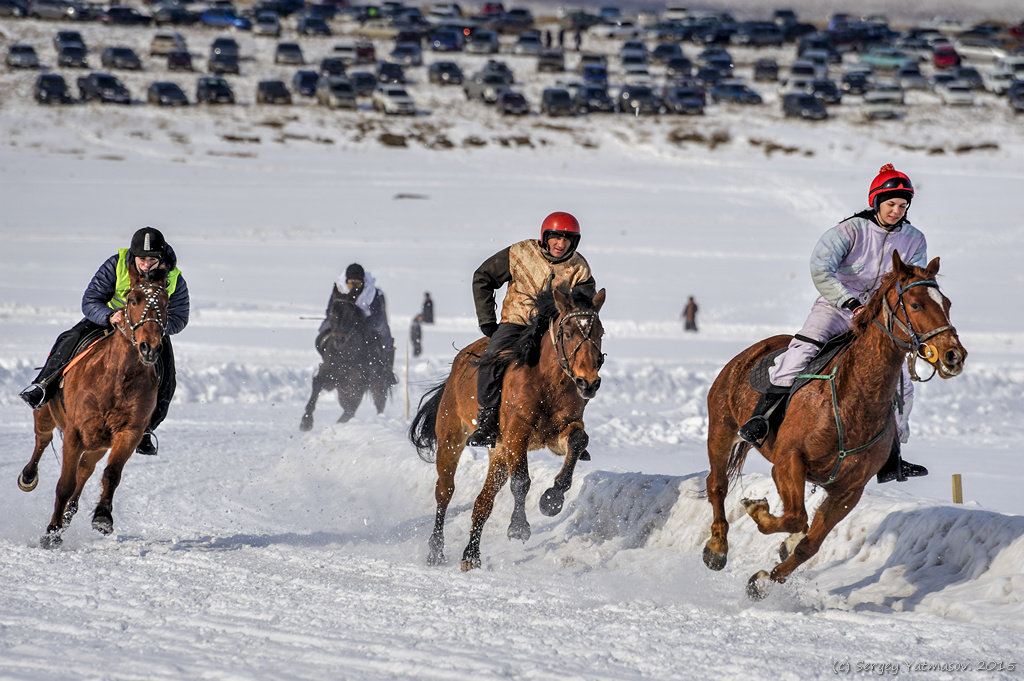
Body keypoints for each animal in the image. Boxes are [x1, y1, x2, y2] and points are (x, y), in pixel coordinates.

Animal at [299, 292, 395, 430]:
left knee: (377, 403)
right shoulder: (328, 374)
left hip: (378, 384)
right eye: (332, 312)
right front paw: (306, 421)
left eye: (351, 314)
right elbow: (317, 384)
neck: (345, 356)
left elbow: (352, 406)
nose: (339, 339)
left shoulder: (357, 383)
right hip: (343, 390)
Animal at [407, 284, 602, 569]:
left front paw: (552, 499)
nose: (588, 382)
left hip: (498, 453)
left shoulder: (560, 431)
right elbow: (521, 480)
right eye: (567, 333)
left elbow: (578, 441)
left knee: (482, 503)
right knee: (444, 491)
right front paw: (518, 527)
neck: (548, 383)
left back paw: (471, 555)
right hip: (451, 439)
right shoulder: (516, 435)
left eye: (600, 332)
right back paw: (436, 551)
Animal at [704, 251, 966, 598]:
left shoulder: (848, 491)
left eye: (946, 303)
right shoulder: (788, 461)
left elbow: (809, 542)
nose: (954, 355)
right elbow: (794, 517)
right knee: (717, 485)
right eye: (916, 304)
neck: (852, 399)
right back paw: (717, 548)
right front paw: (757, 511)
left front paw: (763, 580)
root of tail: (749, 353)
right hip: (722, 430)